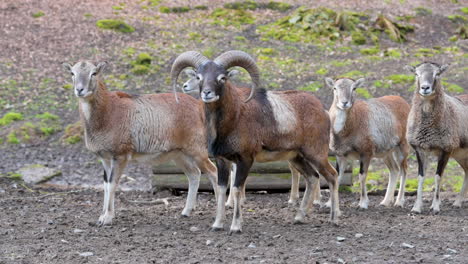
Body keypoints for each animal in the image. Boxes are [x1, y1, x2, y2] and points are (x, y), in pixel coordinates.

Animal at [60, 60, 219, 226]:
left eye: (94, 73)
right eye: (72, 73)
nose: (80, 90)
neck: (107, 112)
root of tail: (199, 107)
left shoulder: (120, 157)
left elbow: (112, 184)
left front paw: (107, 218)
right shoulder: (105, 159)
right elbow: (105, 185)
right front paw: (101, 217)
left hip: (197, 152)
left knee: (213, 172)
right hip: (180, 155)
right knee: (194, 174)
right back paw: (185, 212)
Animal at [326, 77, 410, 209]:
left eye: (354, 88)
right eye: (335, 88)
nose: (344, 103)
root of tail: (404, 103)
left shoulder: (365, 154)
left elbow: (362, 176)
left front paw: (363, 203)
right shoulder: (340, 156)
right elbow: (337, 176)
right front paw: (329, 203)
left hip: (402, 147)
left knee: (404, 170)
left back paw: (399, 202)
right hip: (386, 153)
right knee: (394, 170)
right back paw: (385, 202)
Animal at [406, 61, 468, 212]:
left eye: (437, 73)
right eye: (417, 74)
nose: (425, 88)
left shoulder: (446, 150)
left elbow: (438, 177)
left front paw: (435, 207)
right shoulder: (420, 150)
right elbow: (421, 177)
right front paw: (416, 208)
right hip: (461, 155)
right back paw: (457, 202)